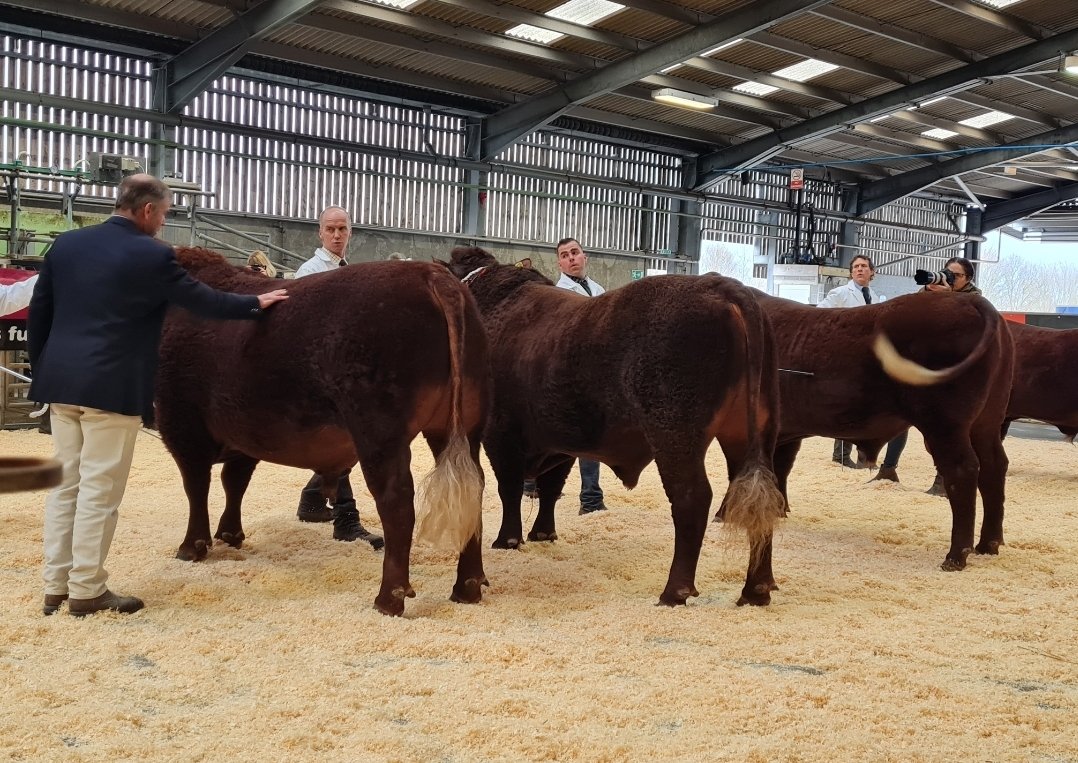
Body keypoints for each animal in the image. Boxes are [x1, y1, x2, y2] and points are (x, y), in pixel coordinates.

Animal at [157, 247, 489, 616]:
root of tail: (432, 275)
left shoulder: (180, 422)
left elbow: (196, 486)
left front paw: (192, 546)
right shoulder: (244, 432)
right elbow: (235, 481)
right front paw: (230, 534)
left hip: (379, 429)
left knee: (397, 501)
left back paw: (388, 599)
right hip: (463, 423)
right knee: (473, 489)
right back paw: (467, 587)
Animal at [443, 246, 785, 607]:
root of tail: (723, 286)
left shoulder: (500, 433)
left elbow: (508, 488)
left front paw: (507, 540)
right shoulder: (560, 439)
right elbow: (551, 487)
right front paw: (543, 533)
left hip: (674, 432)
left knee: (692, 498)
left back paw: (674, 591)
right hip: (752, 432)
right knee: (760, 498)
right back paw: (756, 589)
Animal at [754, 289, 1014, 571]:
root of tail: (968, 300)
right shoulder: (787, 432)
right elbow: (781, 468)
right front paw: (780, 511)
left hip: (944, 424)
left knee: (963, 470)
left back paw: (956, 557)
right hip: (987, 421)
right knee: (993, 466)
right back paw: (988, 545)